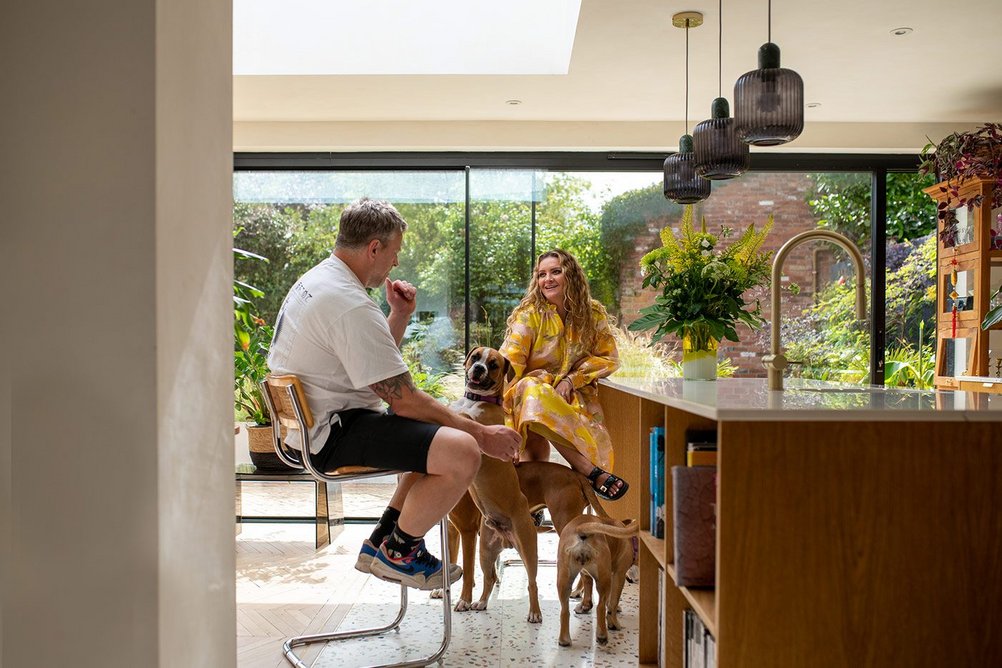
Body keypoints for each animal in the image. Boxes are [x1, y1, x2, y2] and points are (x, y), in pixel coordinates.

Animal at [446, 348, 541, 624]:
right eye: (475, 357)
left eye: (494, 364)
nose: (479, 369)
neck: (474, 400)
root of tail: (506, 537)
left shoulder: (483, 433)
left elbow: (466, 419)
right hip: (485, 552)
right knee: (489, 578)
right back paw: (479, 602)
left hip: (528, 550)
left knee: (532, 583)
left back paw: (534, 613)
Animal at [553, 512, 637, 648]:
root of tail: (581, 528)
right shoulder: (618, 575)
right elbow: (613, 603)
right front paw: (613, 622)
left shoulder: (586, 574)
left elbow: (588, 589)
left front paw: (584, 606)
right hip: (604, 580)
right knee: (600, 607)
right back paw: (602, 635)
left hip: (564, 580)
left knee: (564, 610)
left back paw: (564, 640)